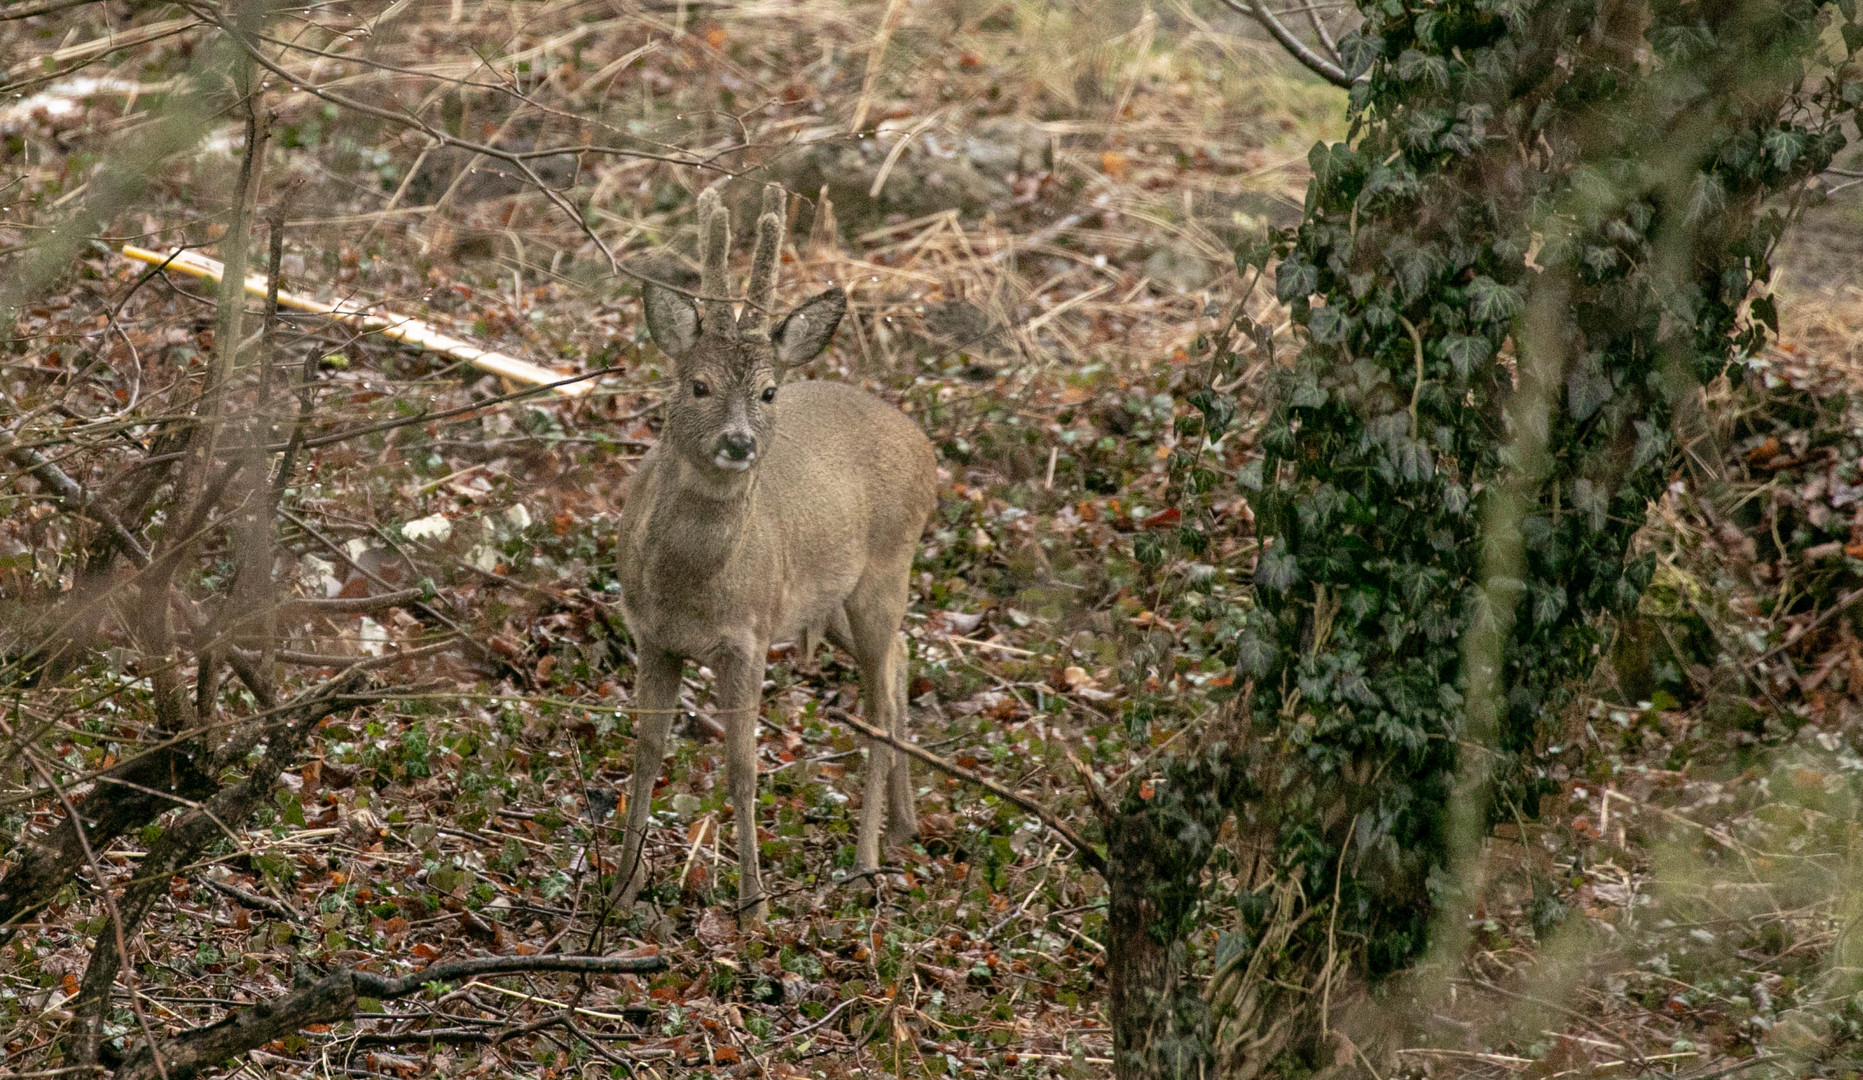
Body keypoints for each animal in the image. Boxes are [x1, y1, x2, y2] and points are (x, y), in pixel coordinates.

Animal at [614, 181, 938, 923]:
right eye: (697, 384)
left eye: (766, 391)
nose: (738, 442)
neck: (692, 590)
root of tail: (925, 445)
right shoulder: (651, 635)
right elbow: (646, 753)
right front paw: (619, 889)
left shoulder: (748, 636)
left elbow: (742, 765)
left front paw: (754, 905)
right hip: (834, 599)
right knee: (904, 658)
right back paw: (905, 825)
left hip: (885, 571)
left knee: (879, 707)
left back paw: (865, 861)